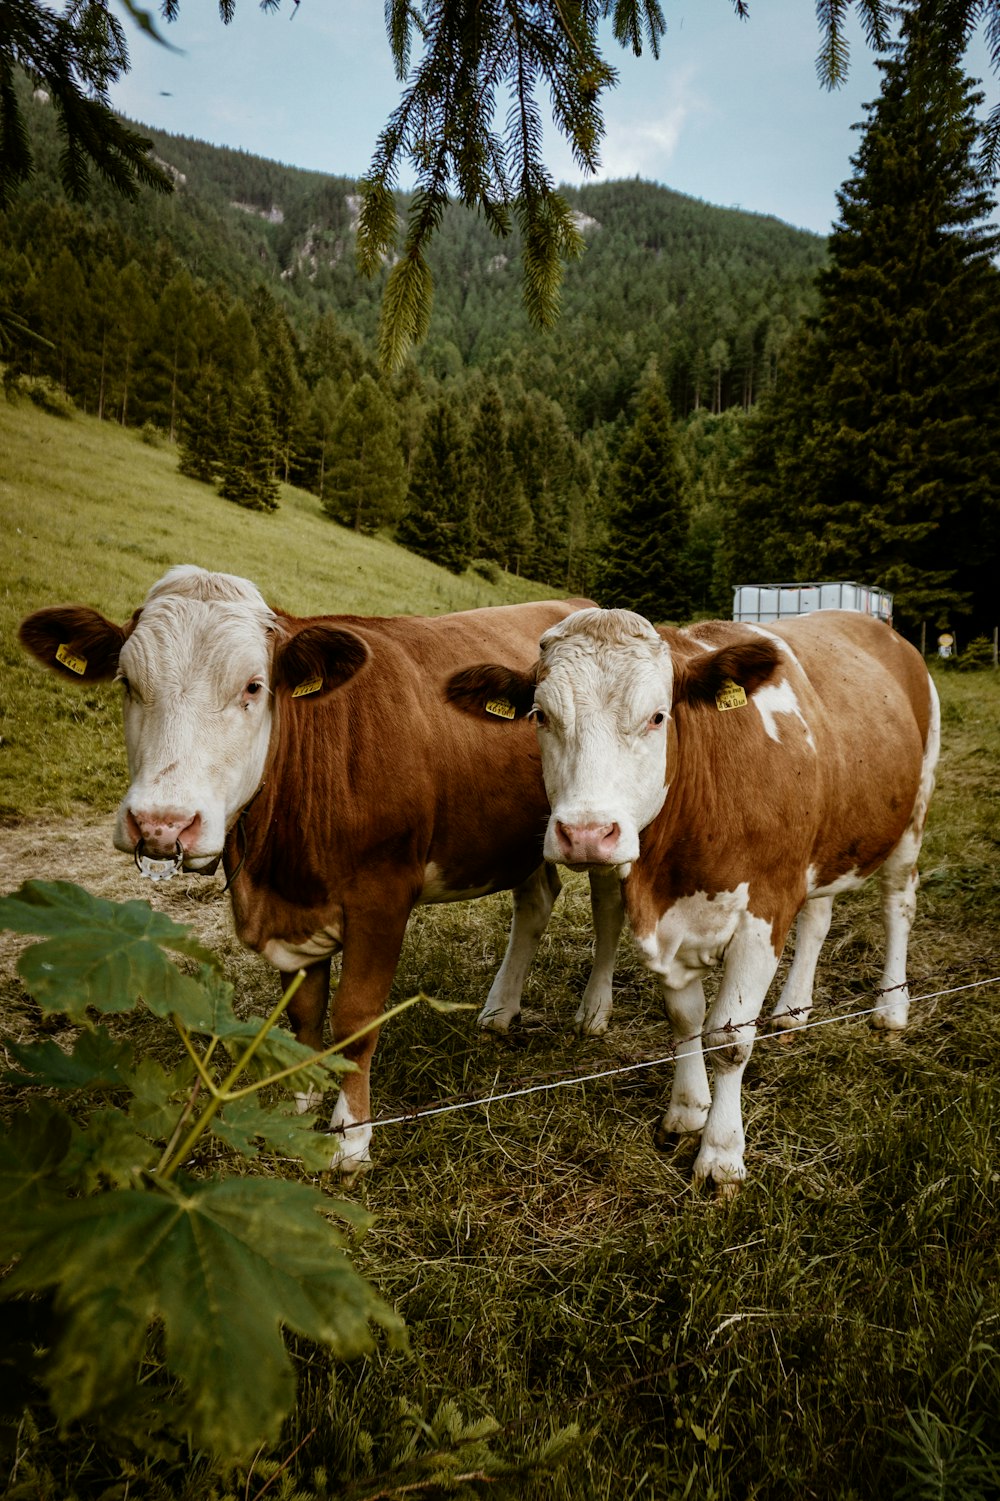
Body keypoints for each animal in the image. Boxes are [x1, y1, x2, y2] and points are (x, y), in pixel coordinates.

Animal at [19, 573, 618, 1170]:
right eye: (126, 681)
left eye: (254, 687)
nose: (161, 824)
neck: (276, 868)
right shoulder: (292, 910)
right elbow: (304, 1014)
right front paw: (296, 1102)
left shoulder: (382, 897)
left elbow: (354, 1019)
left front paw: (350, 1137)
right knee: (536, 900)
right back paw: (500, 1010)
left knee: (607, 908)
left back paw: (593, 1012)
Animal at [447, 606, 936, 1182]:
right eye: (541, 716)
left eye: (659, 717)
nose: (586, 833)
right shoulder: (669, 923)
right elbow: (685, 1021)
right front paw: (686, 1111)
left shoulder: (764, 912)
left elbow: (728, 1038)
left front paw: (721, 1153)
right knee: (818, 919)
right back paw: (793, 1010)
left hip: (914, 809)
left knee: (898, 905)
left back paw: (892, 1007)